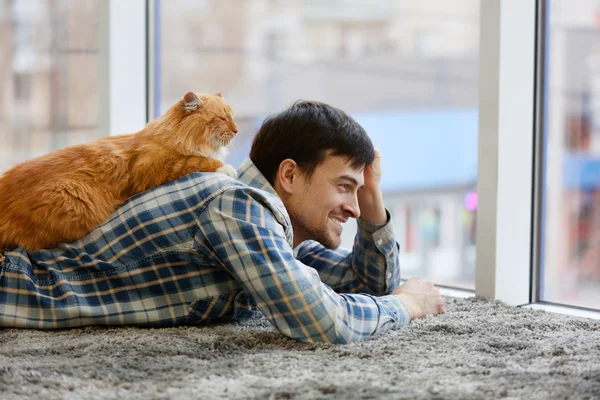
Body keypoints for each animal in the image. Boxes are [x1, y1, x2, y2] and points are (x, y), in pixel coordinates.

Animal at [0, 92, 239, 252]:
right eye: (222, 118)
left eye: (232, 117)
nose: (237, 131)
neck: (176, 136)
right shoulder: (151, 169)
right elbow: (196, 161)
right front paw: (227, 168)